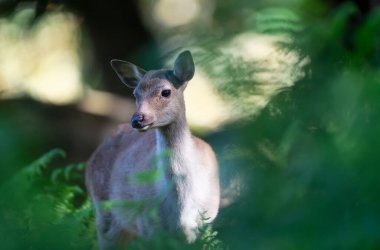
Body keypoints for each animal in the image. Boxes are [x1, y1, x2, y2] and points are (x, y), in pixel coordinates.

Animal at [86, 50, 221, 248]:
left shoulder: (207, 221)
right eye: (135, 94)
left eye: (166, 92)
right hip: (104, 210)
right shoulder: (148, 225)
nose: (137, 119)